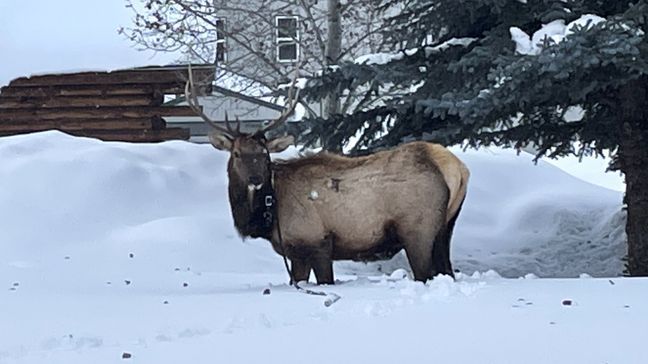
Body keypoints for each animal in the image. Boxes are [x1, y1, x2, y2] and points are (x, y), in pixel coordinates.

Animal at [185, 66, 468, 284]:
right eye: (236, 153)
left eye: (264, 155)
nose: (255, 179)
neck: (270, 213)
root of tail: (456, 168)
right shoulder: (296, 253)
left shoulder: (317, 243)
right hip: (445, 229)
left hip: (417, 230)